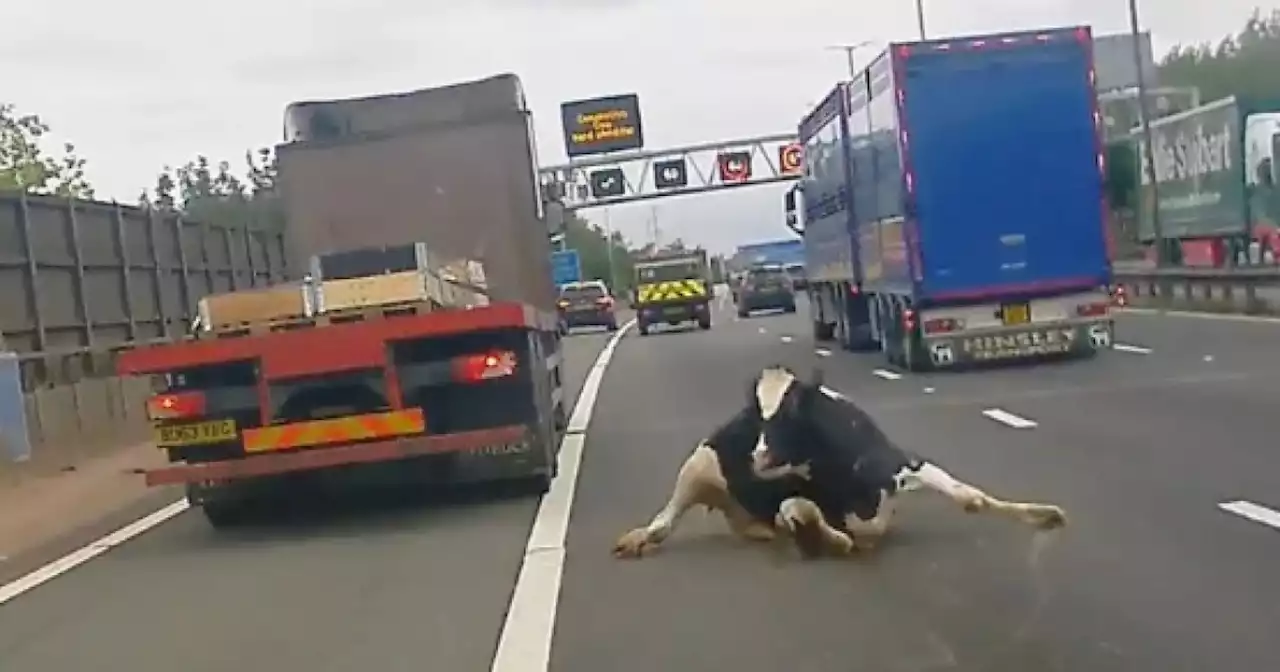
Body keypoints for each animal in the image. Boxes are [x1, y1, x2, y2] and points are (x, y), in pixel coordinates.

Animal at [611, 363, 1070, 558]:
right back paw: (638, 538)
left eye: (794, 411)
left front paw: (1045, 515)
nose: (756, 455)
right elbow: (801, 511)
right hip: (696, 467)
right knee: (665, 521)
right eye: (757, 415)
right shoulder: (794, 495)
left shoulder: (903, 463)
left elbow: (969, 496)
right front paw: (830, 539)